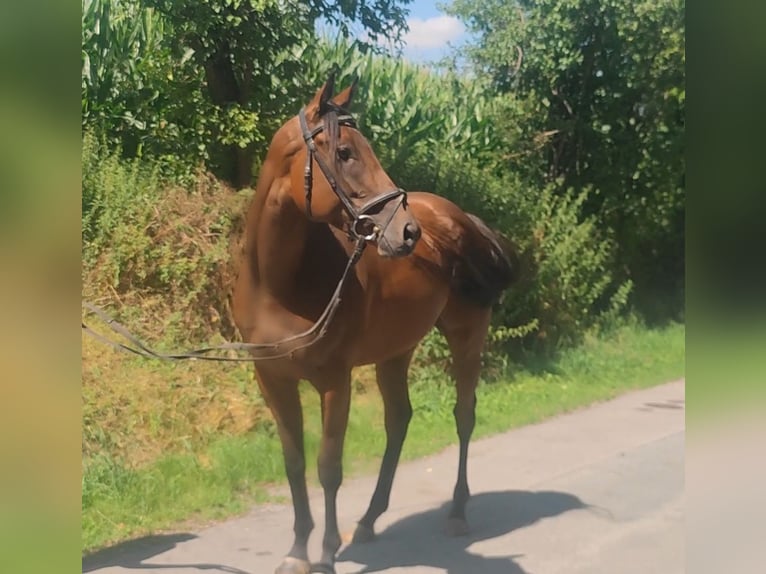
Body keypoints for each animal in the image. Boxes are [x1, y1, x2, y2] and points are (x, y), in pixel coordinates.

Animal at [231, 74, 518, 574]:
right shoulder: (273, 380)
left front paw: (326, 555)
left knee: (464, 415)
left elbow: (328, 467)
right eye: (345, 153)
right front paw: (297, 551)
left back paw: (457, 512)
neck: (277, 286)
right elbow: (294, 463)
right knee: (399, 419)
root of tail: (459, 218)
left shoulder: (333, 380)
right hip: (395, 351)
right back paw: (367, 520)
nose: (406, 232)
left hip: (466, 336)